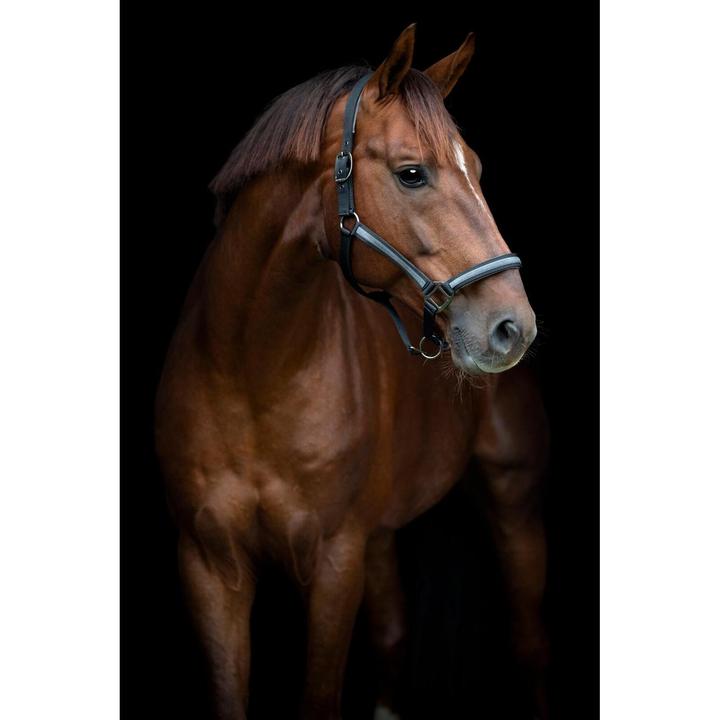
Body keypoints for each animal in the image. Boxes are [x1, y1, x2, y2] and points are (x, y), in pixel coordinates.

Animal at [155, 24, 549, 720]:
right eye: (412, 173)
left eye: (476, 168)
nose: (513, 327)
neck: (253, 372)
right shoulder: (208, 564)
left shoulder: (335, 560)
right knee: (392, 636)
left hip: (515, 503)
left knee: (528, 648)